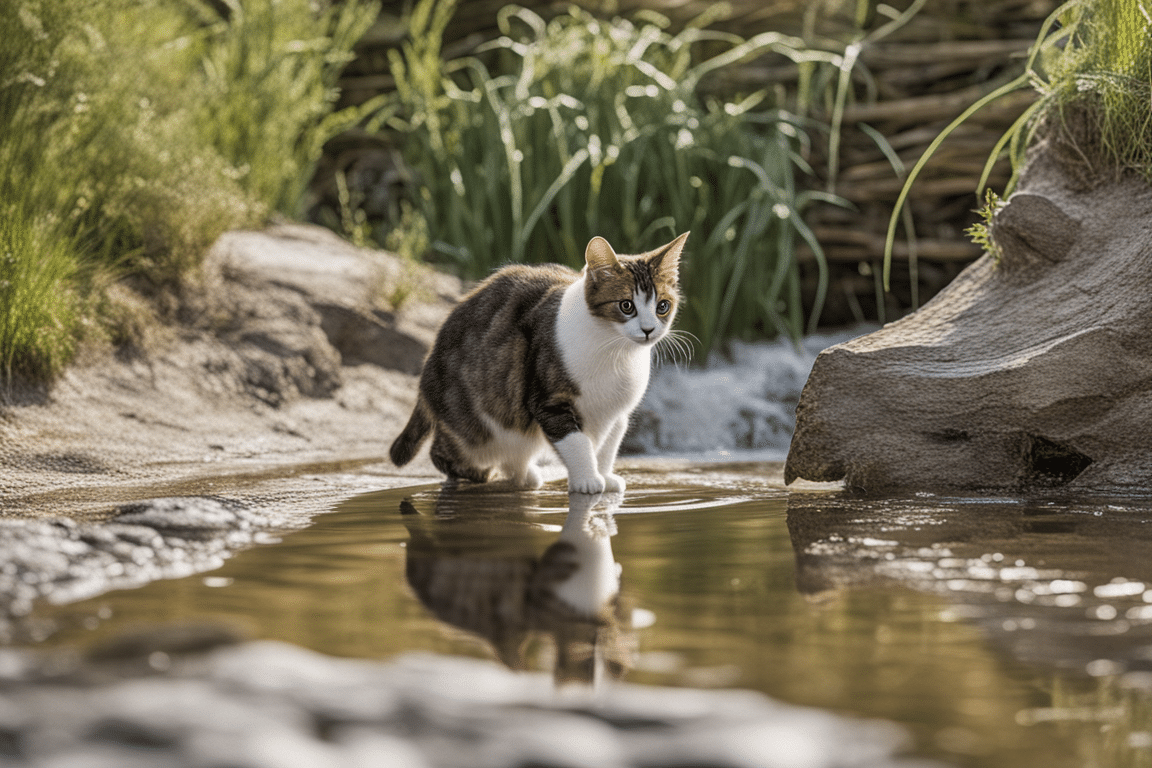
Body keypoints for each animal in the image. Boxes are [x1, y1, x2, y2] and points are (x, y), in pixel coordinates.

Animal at [391, 234, 686, 495]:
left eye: (662, 306)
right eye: (626, 306)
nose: (648, 330)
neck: (615, 352)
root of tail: (428, 368)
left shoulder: (617, 413)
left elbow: (607, 446)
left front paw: (603, 474)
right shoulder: (548, 399)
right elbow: (576, 441)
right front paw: (587, 480)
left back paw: (523, 474)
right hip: (473, 425)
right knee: (445, 452)